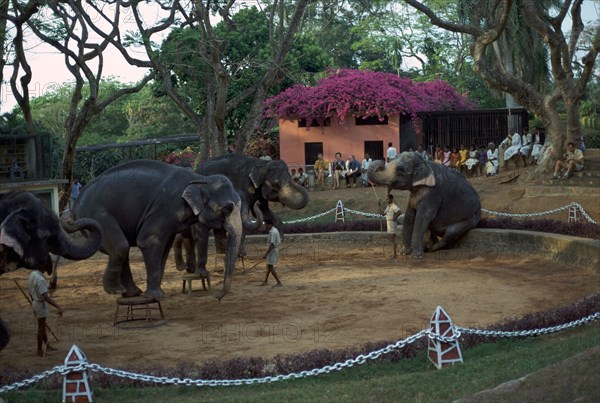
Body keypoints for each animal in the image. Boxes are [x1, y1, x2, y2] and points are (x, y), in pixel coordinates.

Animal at [72, 159, 255, 302]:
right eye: (228, 208)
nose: (217, 297)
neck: (199, 180)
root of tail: (78, 201)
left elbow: (165, 246)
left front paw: (157, 292)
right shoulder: (166, 208)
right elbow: (148, 241)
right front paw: (155, 296)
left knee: (120, 249)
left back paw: (131, 293)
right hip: (96, 214)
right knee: (120, 246)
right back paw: (117, 290)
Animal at [171, 155, 308, 278]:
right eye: (276, 184)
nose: (301, 179)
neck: (261, 163)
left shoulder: (257, 192)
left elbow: (265, 211)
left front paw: (281, 240)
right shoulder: (244, 184)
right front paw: (240, 254)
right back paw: (185, 267)